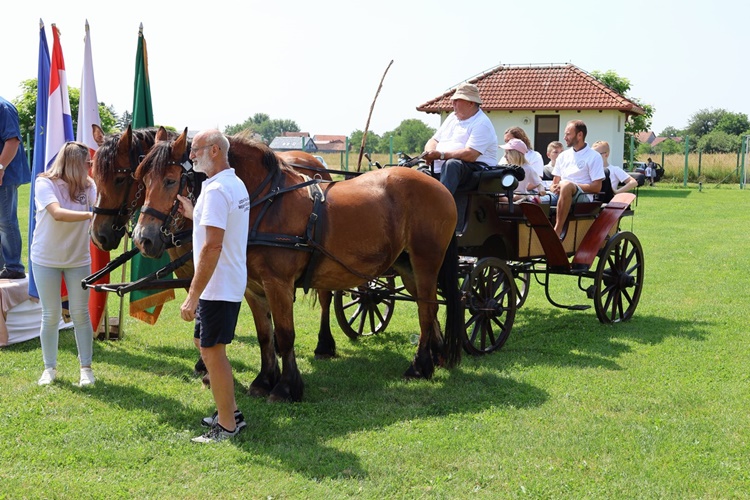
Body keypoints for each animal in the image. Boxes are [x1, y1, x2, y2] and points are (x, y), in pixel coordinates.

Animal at [89, 125, 342, 362]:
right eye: (94, 176)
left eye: (120, 179)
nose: (98, 236)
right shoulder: (190, 270)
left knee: (325, 295)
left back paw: (324, 344)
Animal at [134, 129, 464, 402]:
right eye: (144, 181)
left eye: (171, 180)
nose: (143, 238)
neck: (261, 204)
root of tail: (439, 186)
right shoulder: (253, 287)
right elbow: (265, 335)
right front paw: (264, 380)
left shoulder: (277, 283)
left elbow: (284, 334)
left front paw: (285, 387)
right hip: (407, 267)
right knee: (427, 307)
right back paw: (435, 356)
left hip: (426, 262)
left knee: (426, 310)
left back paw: (420, 366)